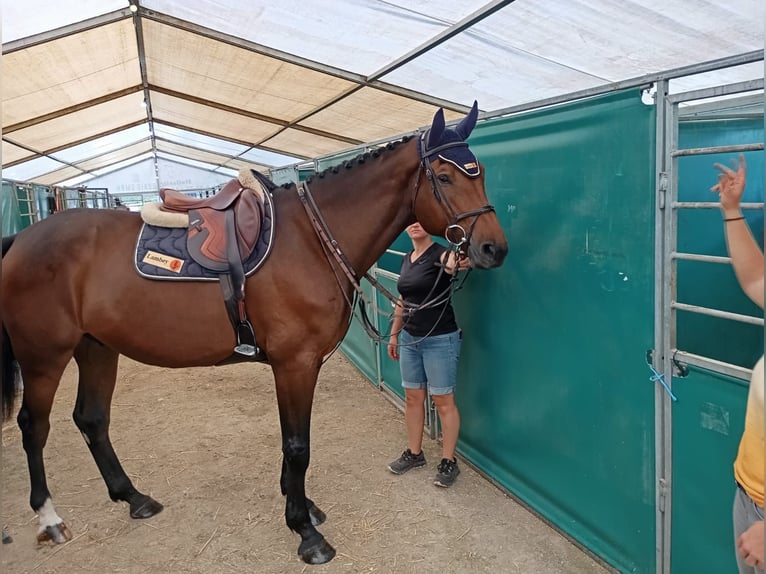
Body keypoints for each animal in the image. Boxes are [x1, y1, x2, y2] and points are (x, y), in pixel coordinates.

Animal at [1, 102, 508, 564]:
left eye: (480, 173)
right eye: (444, 177)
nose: (493, 248)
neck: (310, 239)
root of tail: (21, 240)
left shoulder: (296, 365)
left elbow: (292, 443)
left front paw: (303, 507)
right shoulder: (295, 363)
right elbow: (298, 446)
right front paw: (305, 532)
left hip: (98, 349)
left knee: (91, 420)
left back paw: (134, 498)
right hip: (45, 357)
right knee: (34, 426)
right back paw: (50, 519)